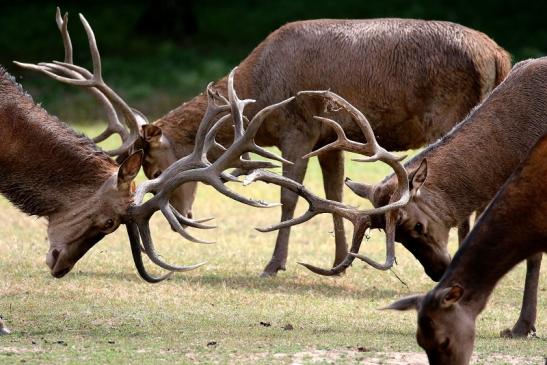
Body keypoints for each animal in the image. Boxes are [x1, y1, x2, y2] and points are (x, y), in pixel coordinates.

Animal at [20, 9, 510, 276]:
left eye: (154, 167)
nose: (185, 214)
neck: (258, 90)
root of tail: (498, 56)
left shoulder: (298, 129)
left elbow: (292, 197)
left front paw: (274, 264)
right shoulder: (333, 138)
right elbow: (334, 193)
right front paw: (339, 261)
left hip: (449, 115)